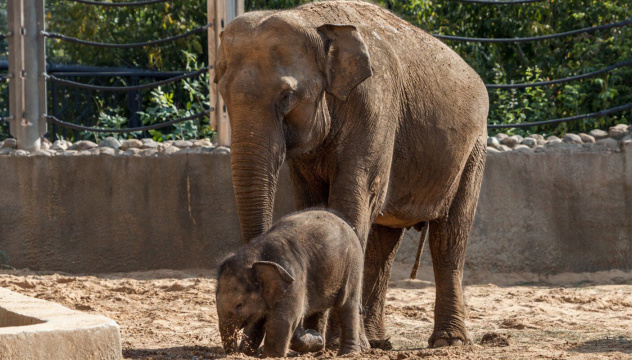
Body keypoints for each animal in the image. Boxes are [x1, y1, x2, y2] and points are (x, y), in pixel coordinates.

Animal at [217, 208, 366, 358]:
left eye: (240, 304)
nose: (233, 353)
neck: (256, 256)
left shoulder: (293, 278)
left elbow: (284, 319)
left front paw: (271, 356)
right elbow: (259, 320)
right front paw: (248, 353)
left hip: (353, 263)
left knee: (346, 305)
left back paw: (347, 353)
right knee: (320, 309)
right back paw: (318, 345)